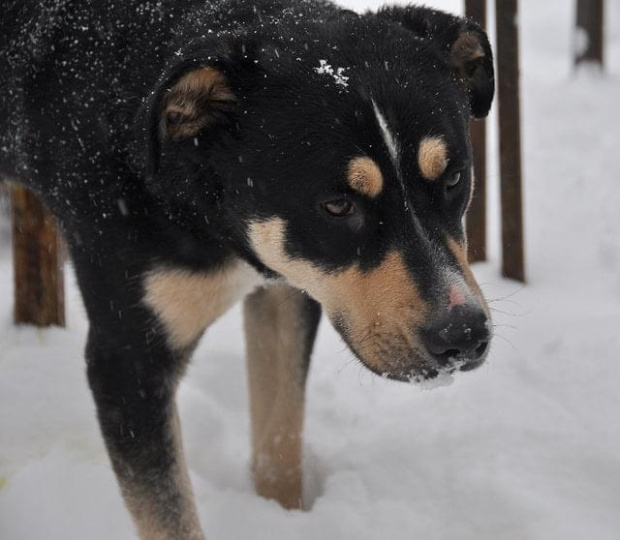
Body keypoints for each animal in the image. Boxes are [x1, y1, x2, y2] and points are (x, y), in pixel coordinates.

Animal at [0, 1, 494, 536]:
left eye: (454, 178)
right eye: (337, 205)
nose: (463, 334)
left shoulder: (287, 290)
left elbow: (281, 439)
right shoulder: (128, 356)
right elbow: (170, 515)